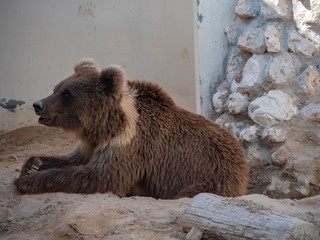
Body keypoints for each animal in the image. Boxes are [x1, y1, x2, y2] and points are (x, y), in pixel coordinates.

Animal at [13, 58, 248, 199]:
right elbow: (72, 160)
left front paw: (26, 181)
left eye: (67, 93)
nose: (38, 105)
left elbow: (99, 177)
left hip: (212, 179)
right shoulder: (92, 144)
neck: (107, 126)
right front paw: (33, 165)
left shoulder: (130, 144)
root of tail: (241, 159)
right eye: (56, 88)